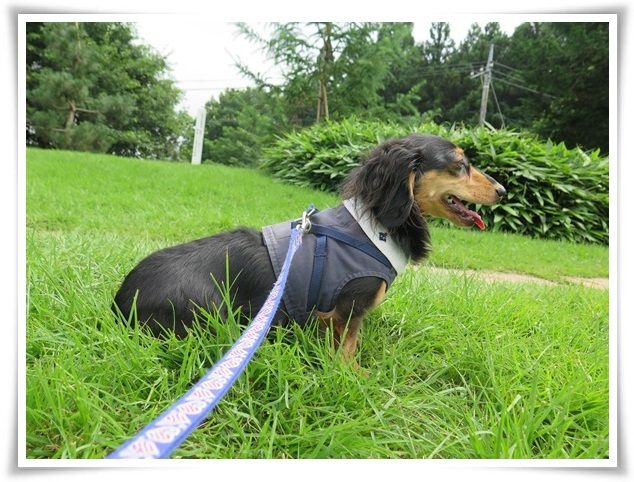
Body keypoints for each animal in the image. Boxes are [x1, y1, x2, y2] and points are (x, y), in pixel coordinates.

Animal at [113, 133, 505, 363]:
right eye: (461, 164)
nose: (502, 191)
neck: (374, 226)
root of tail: (119, 303)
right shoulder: (349, 307)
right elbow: (347, 348)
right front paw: (352, 376)